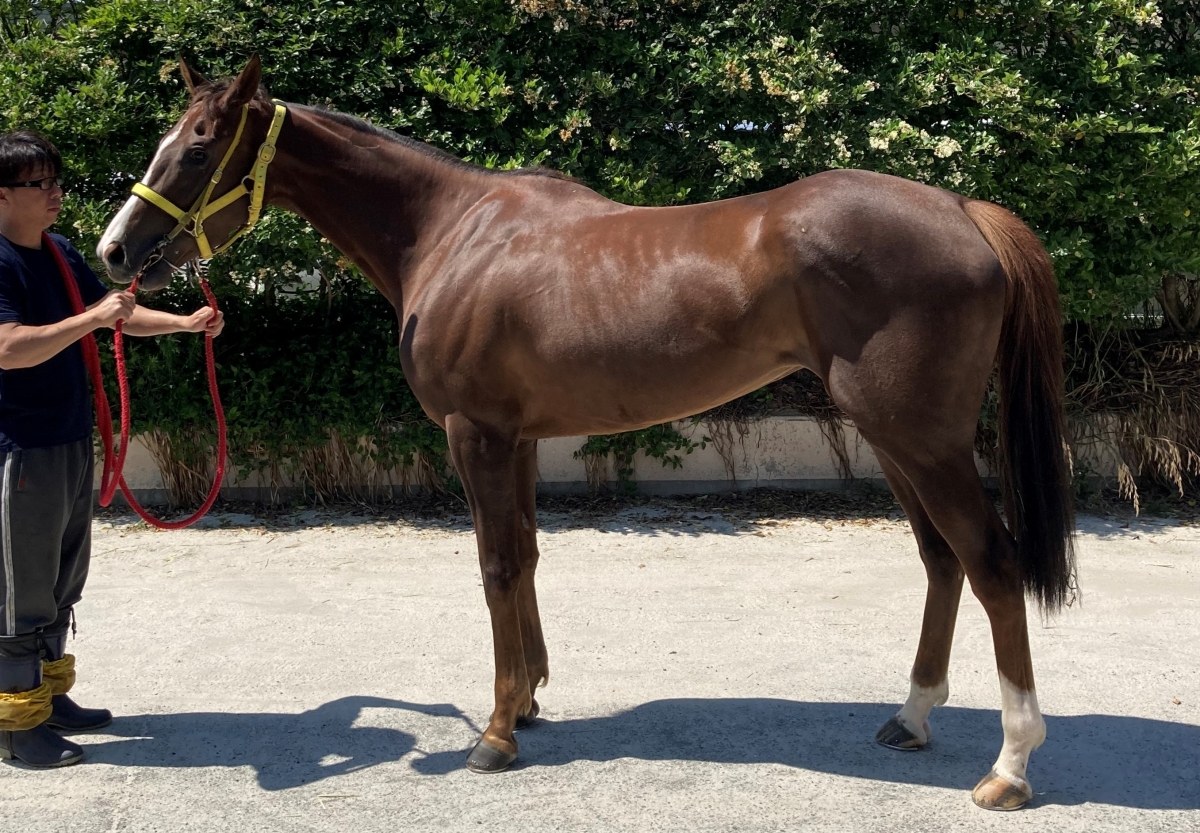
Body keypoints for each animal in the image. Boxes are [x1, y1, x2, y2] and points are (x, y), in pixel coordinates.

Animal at [98, 56, 1075, 810]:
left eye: (196, 146)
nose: (113, 251)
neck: (453, 235)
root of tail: (962, 209)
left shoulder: (476, 434)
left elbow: (495, 565)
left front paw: (494, 733)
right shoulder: (522, 437)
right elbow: (527, 556)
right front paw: (528, 699)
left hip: (921, 438)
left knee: (991, 563)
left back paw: (1011, 766)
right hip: (892, 436)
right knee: (942, 560)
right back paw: (911, 717)